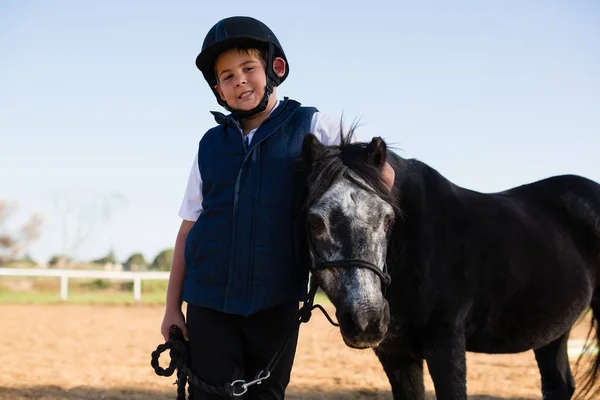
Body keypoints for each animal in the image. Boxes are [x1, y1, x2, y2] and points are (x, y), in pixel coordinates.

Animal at [298, 129, 600, 400]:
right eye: (315, 222)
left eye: (388, 219)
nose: (367, 320)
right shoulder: (396, 353)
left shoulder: (446, 343)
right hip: (553, 333)